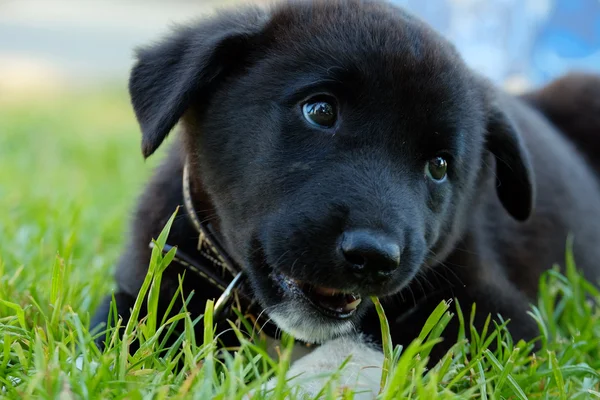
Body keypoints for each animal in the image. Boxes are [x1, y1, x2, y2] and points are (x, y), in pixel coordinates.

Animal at [91, 0, 600, 394]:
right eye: (319, 111)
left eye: (439, 166)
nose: (374, 257)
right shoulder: (150, 280)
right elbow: (118, 332)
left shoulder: (499, 316)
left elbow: (369, 344)